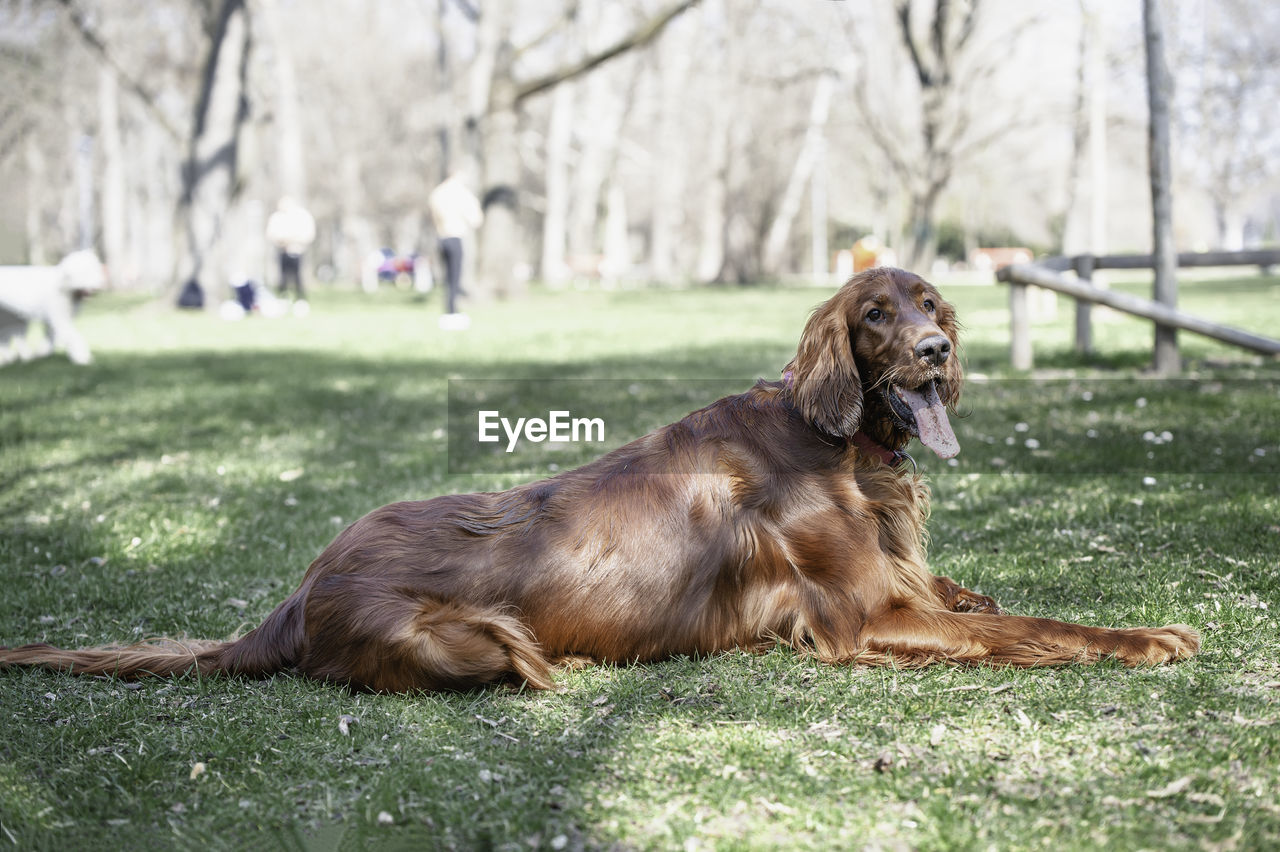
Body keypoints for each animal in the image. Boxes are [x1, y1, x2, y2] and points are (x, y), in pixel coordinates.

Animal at [2, 267, 1198, 690]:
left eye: (933, 306)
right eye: (874, 315)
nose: (938, 352)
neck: (840, 447)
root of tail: (296, 595)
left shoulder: (905, 587)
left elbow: (981, 599)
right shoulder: (865, 618)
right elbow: (1035, 627)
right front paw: (1147, 635)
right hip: (460, 638)